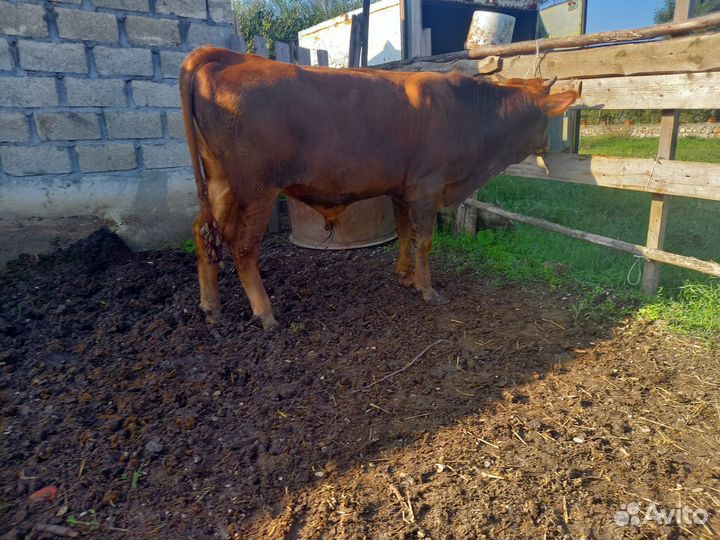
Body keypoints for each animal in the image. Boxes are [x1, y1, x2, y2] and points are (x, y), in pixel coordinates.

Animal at [180, 47, 578, 330]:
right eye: (546, 119)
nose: (549, 146)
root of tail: (228, 55)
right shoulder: (427, 186)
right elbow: (424, 240)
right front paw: (427, 288)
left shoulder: (402, 190)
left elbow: (404, 233)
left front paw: (405, 275)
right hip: (257, 188)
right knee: (242, 246)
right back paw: (265, 313)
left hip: (220, 183)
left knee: (203, 234)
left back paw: (211, 307)